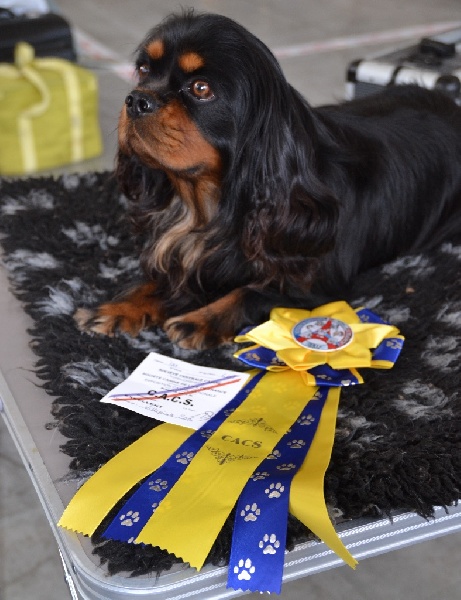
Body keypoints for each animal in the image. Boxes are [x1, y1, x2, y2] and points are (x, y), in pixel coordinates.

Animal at [75, 11, 461, 350]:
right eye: (143, 70)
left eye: (201, 88)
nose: (136, 100)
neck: (208, 201)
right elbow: (156, 281)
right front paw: (118, 308)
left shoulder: (318, 286)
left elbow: (251, 292)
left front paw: (201, 320)